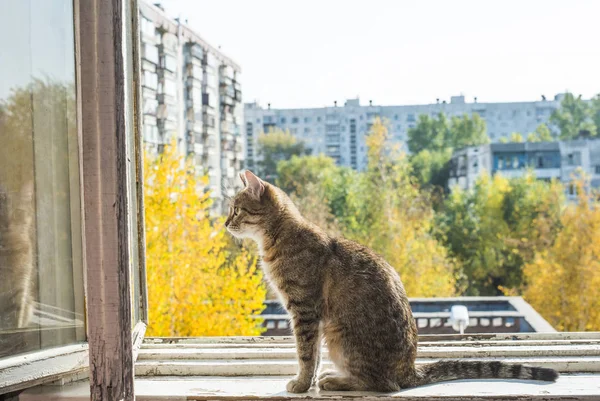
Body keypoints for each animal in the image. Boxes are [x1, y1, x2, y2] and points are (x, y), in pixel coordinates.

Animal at [225, 170, 556, 392]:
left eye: (236, 209)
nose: (226, 223)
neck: (278, 238)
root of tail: (408, 370)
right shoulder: (308, 315)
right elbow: (313, 355)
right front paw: (307, 381)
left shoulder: (305, 311)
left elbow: (306, 354)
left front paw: (303, 383)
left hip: (340, 336)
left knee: (381, 384)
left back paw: (338, 381)